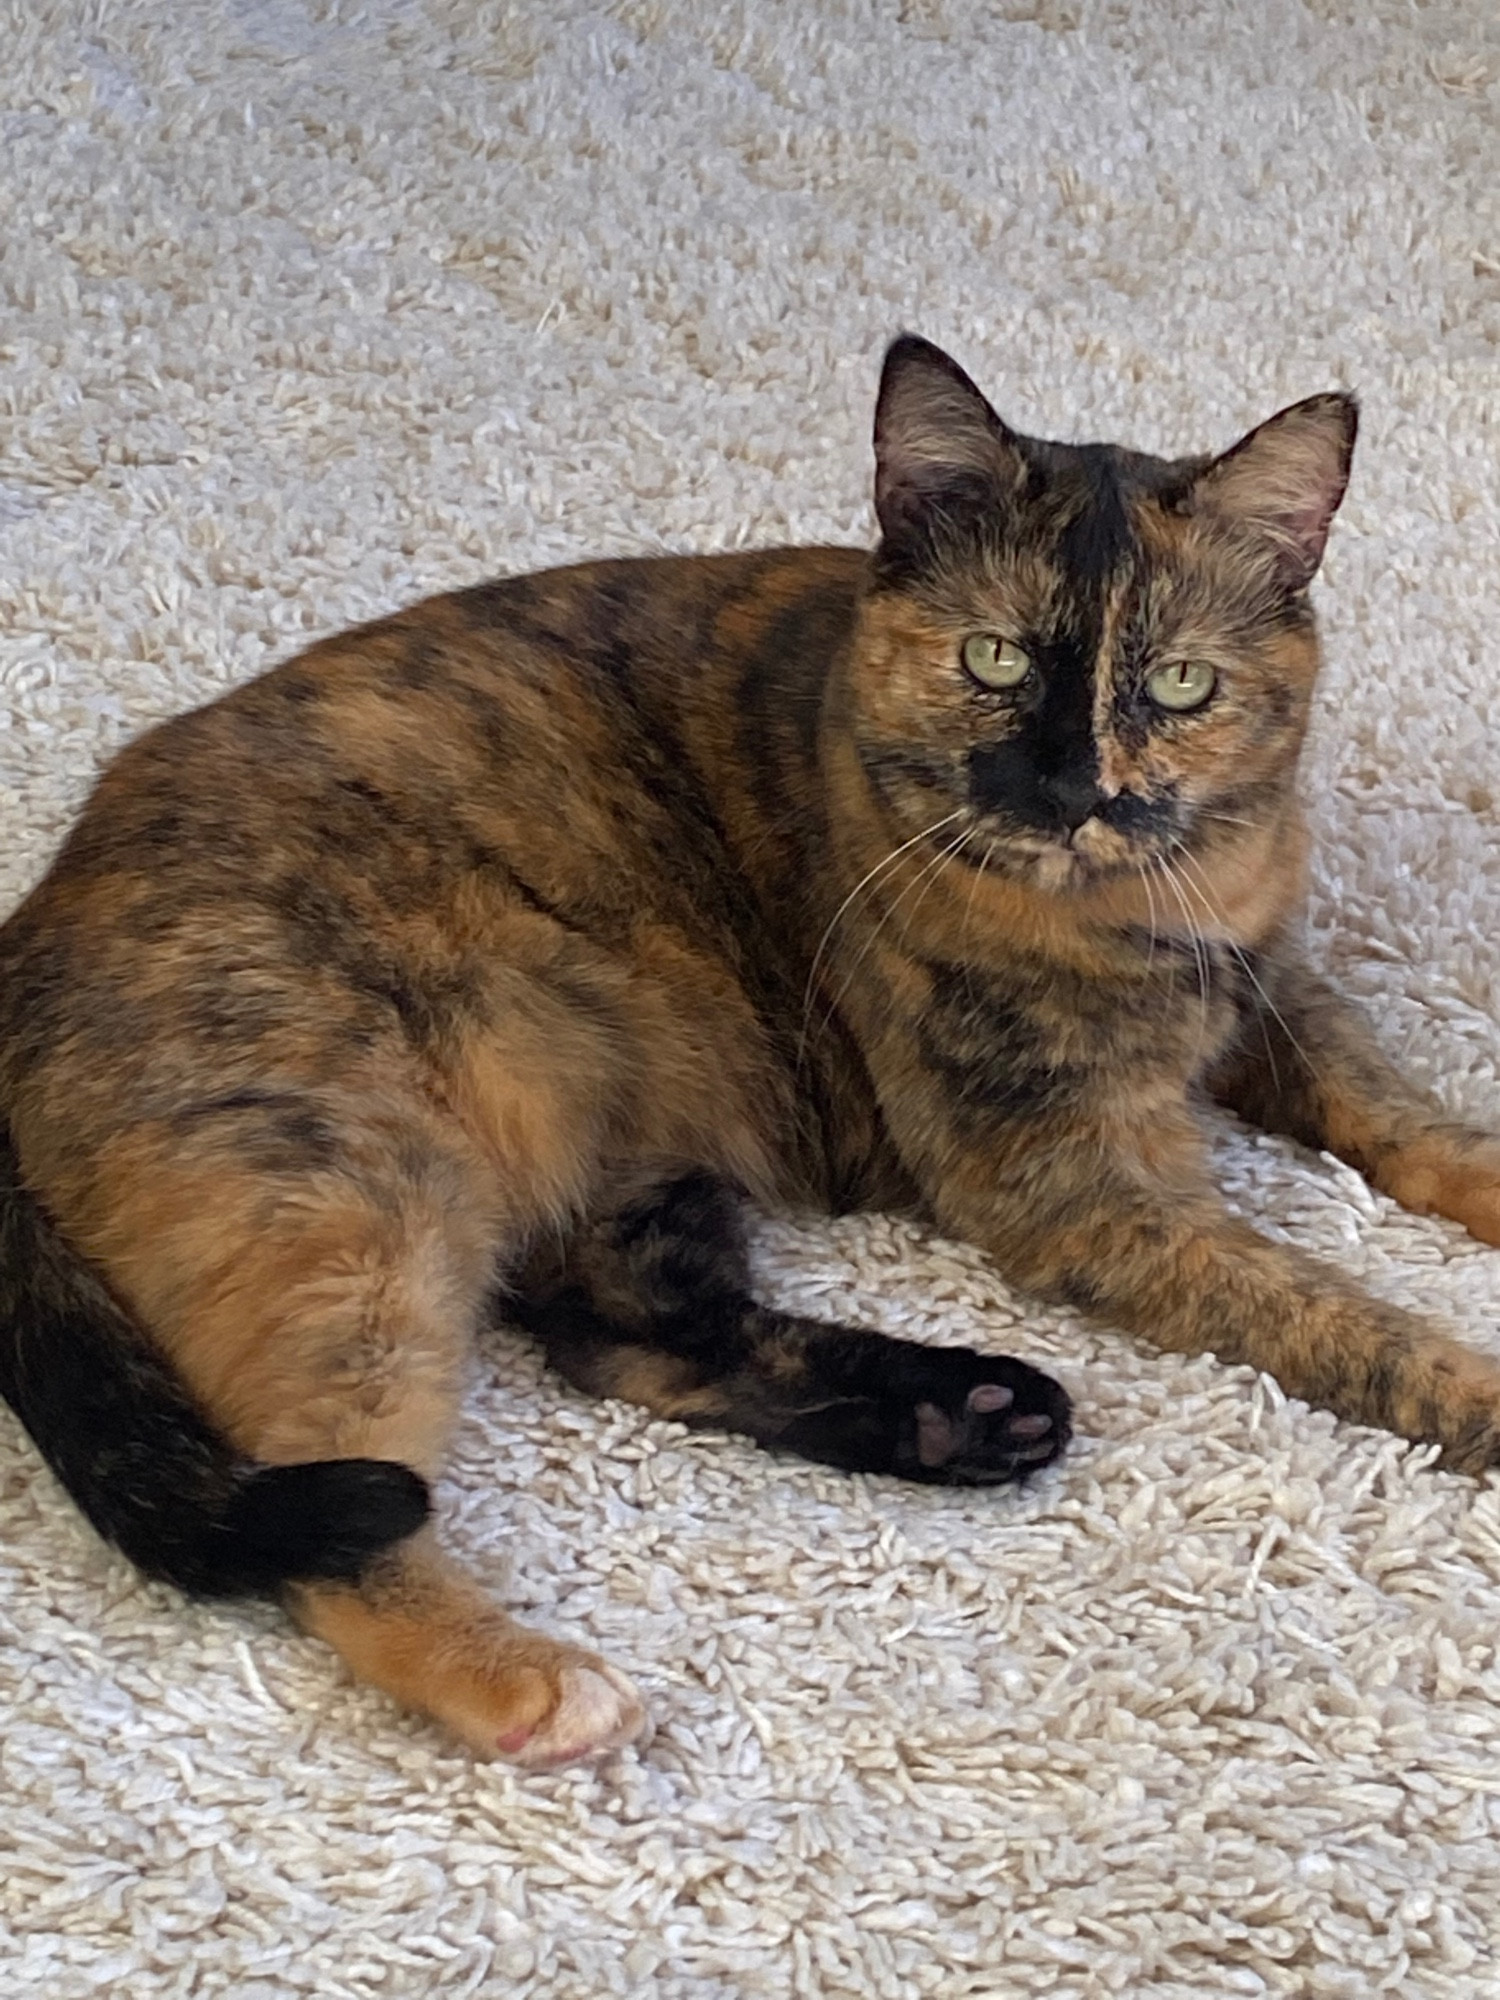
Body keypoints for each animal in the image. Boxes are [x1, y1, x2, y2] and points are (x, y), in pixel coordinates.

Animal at [2, 344, 1500, 1768]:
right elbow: (1334, 1316)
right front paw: (1478, 1388)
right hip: (358, 1193)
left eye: (1181, 683)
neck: (1144, 920)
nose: (1076, 786)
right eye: (995, 660)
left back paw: (966, 1416)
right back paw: (530, 1682)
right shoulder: (1071, 1178)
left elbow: (1407, 1116)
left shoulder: (1271, 993)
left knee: (632, 1339)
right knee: (336, 1518)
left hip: (619, 1144)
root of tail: (29, 929)